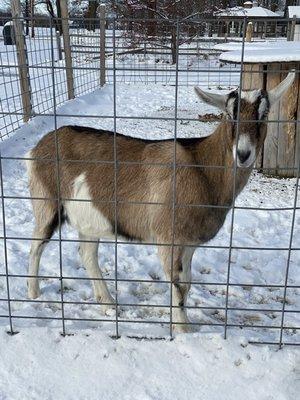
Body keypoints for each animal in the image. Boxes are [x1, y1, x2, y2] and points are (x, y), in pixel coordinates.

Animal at [25, 71, 296, 332]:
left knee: (87, 254)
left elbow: (187, 283)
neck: (203, 168)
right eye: (230, 115)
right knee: (36, 244)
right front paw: (183, 330)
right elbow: (177, 284)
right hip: (46, 202)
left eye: (264, 114)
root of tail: (36, 149)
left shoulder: (189, 242)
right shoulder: (169, 237)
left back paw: (108, 303)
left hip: (90, 219)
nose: (243, 154)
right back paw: (33, 293)